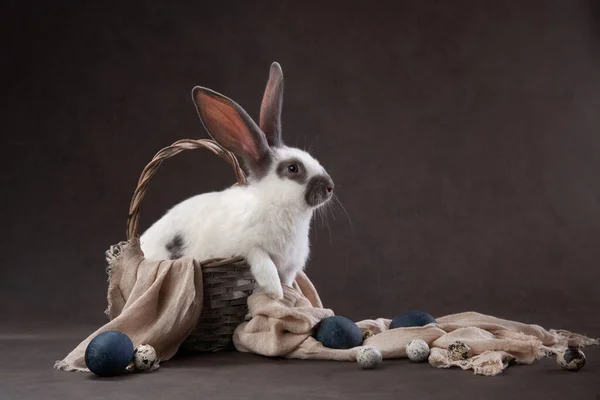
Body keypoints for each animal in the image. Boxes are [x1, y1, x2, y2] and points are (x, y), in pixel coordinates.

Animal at [142, 62, 338, 298]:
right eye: (293, 168)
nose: (330, 187)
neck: (279, 207)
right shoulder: (245, 247)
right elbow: (263, 263)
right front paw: (275, 292)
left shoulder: (289, 268)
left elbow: (287, 280)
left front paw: (286, 293)